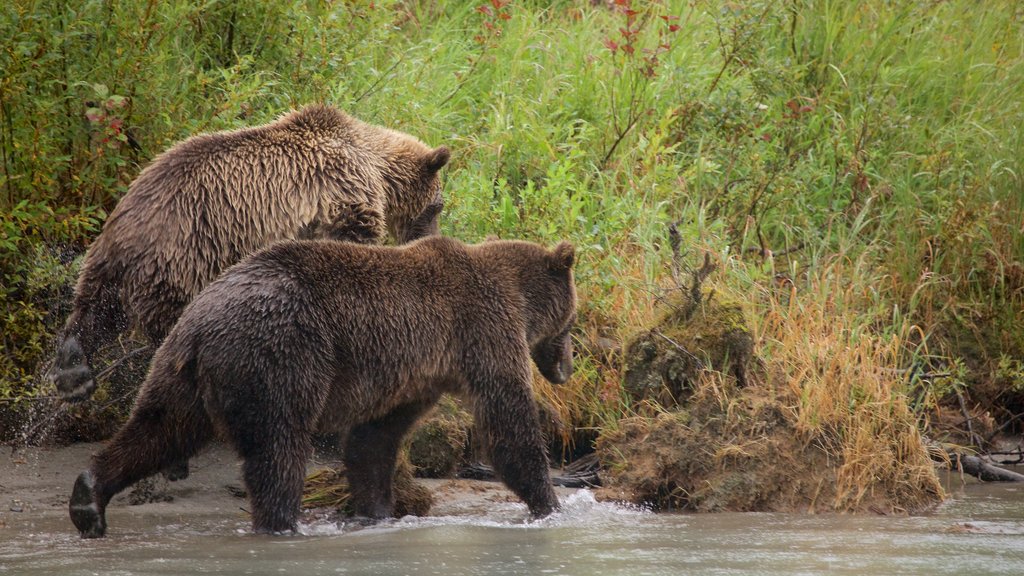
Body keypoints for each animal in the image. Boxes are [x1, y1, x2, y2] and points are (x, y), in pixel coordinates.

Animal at [48, 103, 448, 403]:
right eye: (438, 206)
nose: (431, 239)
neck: (375, 165)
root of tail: (124, 235)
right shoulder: (342, 199)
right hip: (181, 257)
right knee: (170, 325)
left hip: (106, 259)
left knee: (93, 310)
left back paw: (74, 372)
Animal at [68, 233, 577, 532]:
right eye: (573, 321)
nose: (566, 369)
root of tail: (201, 326)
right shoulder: (480, 331)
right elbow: (508, 423)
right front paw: (551, 505)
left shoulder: (414, 374)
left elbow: (374, 440)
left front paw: (375, 511)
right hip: (281, 353)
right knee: (278, 448)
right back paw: (283, 524)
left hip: (180, 370)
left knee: (159, 428)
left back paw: (87, 499)